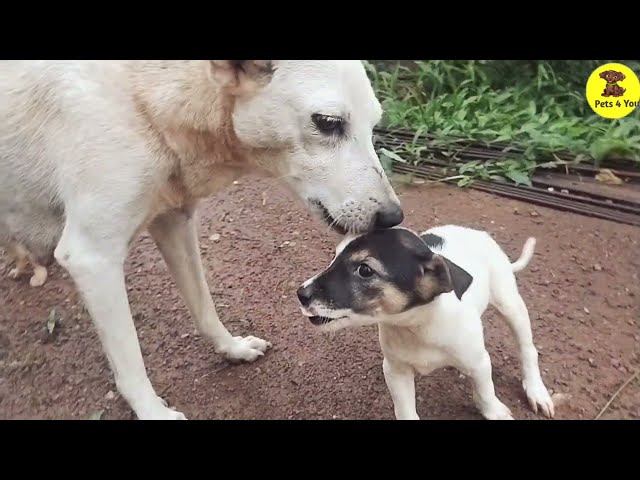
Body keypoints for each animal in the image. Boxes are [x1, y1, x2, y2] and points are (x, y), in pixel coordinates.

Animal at [0, 61, 402, 420]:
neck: (144, 96)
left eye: (373, 125)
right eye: (329, 123)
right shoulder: (92, 257)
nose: (393, 217)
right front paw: (152, 412)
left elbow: (204, 308)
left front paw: (232, 348)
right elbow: (130, 361)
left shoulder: (174, 221)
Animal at [300, 225, 556, 420]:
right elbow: (405, 410)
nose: (300, 293)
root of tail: (477, 232)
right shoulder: (396, 371)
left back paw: (536, 390)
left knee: (527, 349)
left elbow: (485, 391)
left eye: (364, 270)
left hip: (510, 304)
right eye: (334, 257)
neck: (418, 326)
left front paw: (494, 411)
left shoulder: (479, 362)